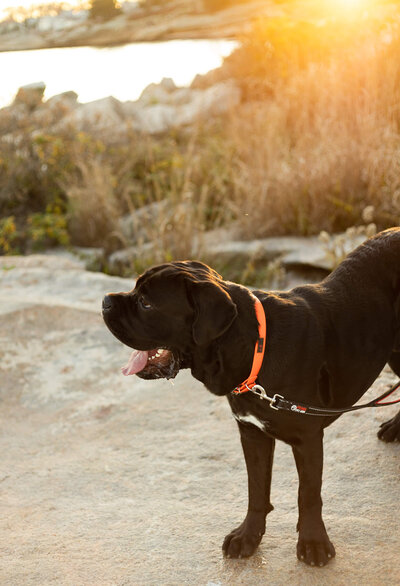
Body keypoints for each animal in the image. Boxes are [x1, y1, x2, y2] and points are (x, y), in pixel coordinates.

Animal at [102, 226, 400, 564]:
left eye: (146, 303)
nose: (105, 301)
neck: (255, 349)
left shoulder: (308, 439)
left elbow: (308, 494)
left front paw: (313, 542)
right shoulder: (252, 432)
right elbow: (257, 489)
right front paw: (248, 536)